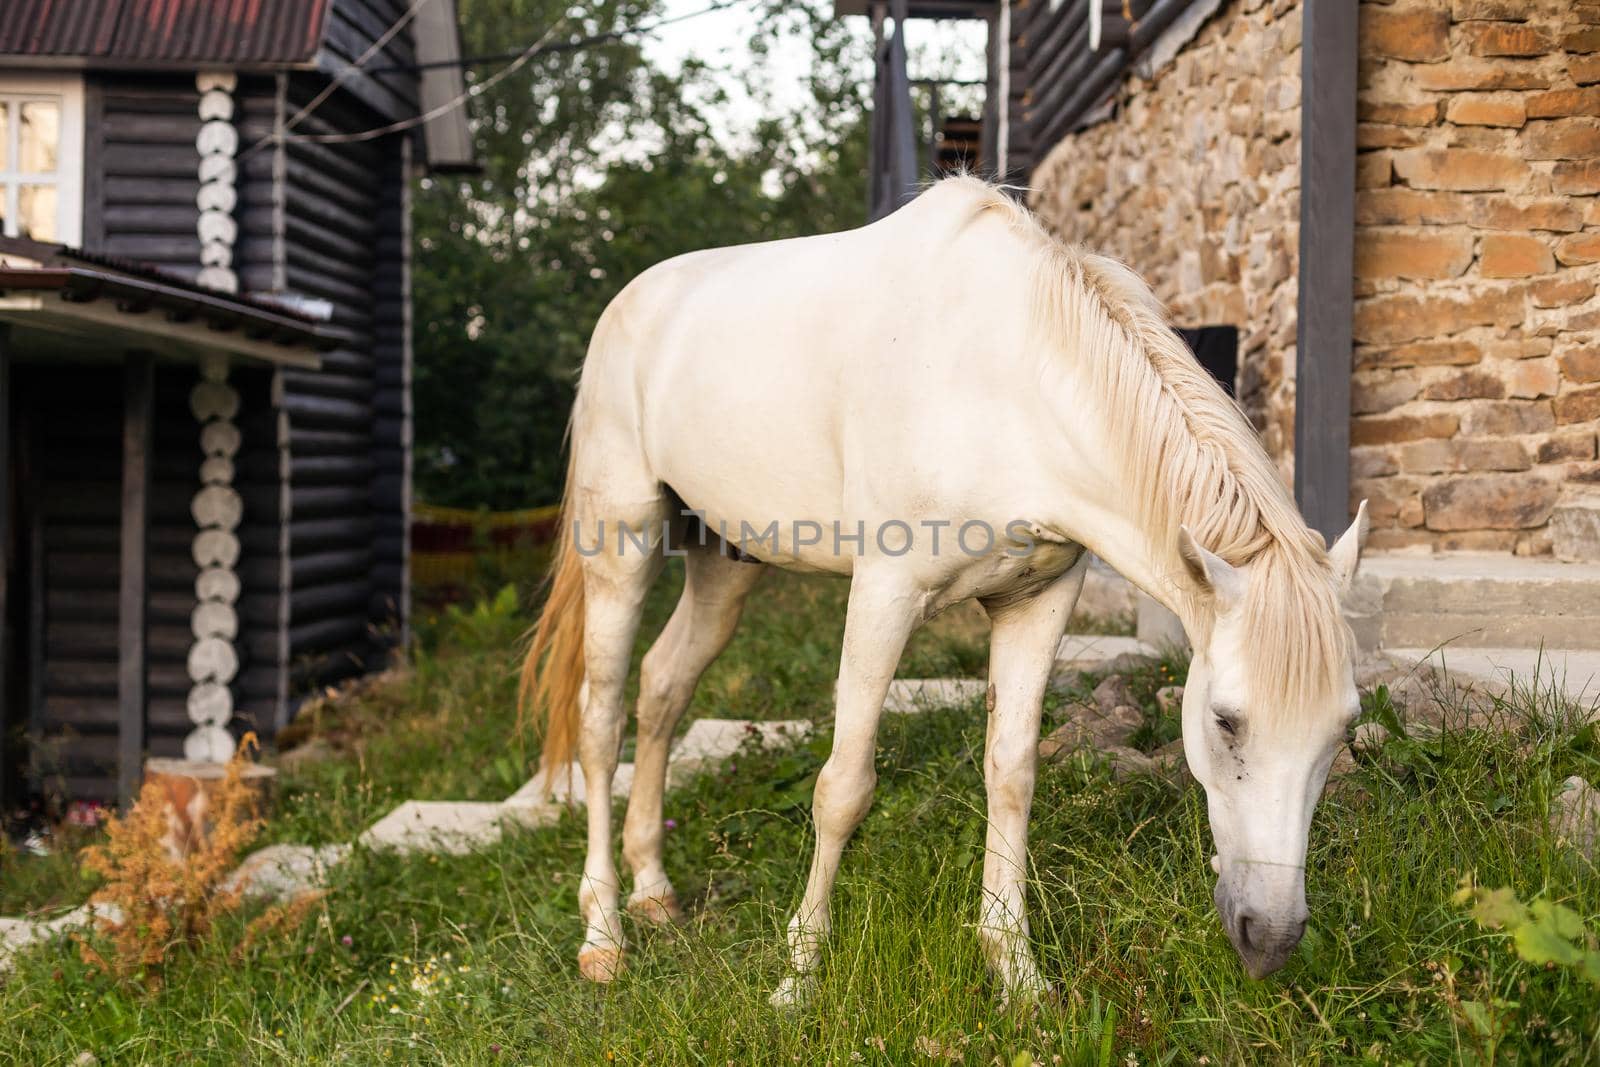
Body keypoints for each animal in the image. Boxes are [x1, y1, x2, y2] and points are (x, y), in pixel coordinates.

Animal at [518, 175, 1369, 1004]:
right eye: (1225, 721)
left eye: (1342, 729)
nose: (1271, 937)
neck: (1006, 380)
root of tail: (628, 305)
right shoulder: (884, 597)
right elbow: (843, 787)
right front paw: (798, 975)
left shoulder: (1037, 604)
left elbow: (1013, 775)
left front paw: (1016, 972)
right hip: (621, 547)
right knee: (600, 723)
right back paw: (603, 936)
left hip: (725, 564)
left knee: (663, 686)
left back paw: (654, 891)